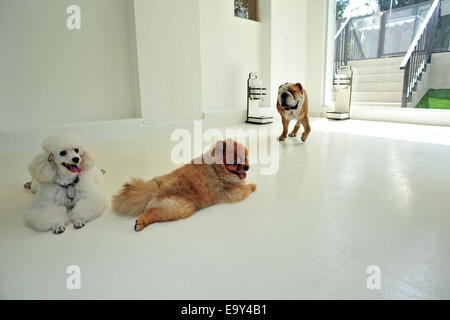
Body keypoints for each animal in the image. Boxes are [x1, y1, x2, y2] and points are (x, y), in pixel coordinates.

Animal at [112, 139, 255, 231]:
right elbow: (246, 188)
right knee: (153, 211)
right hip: (180, 207)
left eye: (245, 158)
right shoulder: (232, 193)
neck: (217, 168)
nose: (247, 167)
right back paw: (141, 222)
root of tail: (157, 187)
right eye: (236, 163)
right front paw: (253, 186)